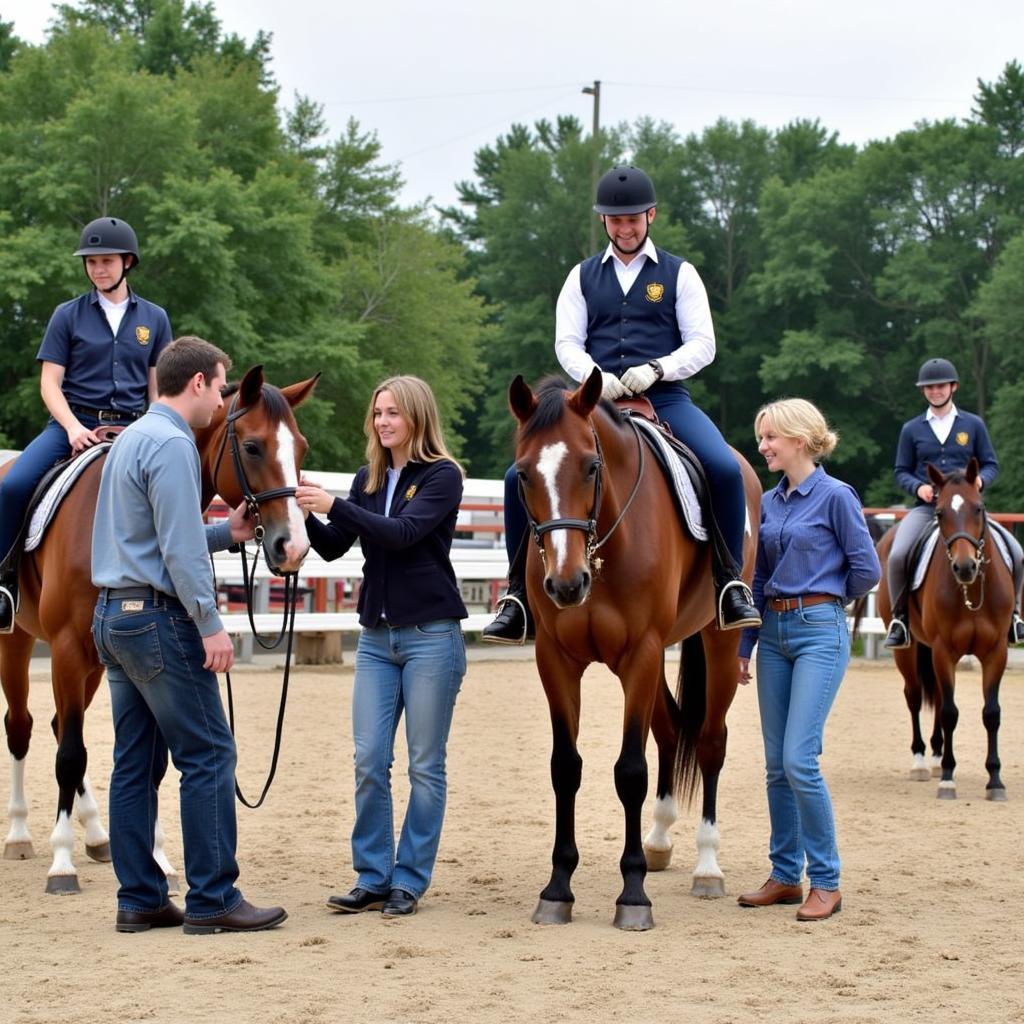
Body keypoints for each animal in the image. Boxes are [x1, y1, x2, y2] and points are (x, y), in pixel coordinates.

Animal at [0, 364, 317, 892]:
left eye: (302, 448)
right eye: (253, 447)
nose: (291, 547)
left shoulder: (131, 659)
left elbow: (152, 763)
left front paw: (157, 854)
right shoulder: (65, 650)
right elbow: (70, 754)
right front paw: (61, 861)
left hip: (93, 665)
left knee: (59, 726)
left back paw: (97, 835)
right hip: (18, 641)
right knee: (23, 727)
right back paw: (21, 834)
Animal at [509, 370, 761, 929]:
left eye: (591, 465)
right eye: (523, 475)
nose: (566, 584)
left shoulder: (641, 654)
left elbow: (629, 771)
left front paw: (633, 895)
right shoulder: (555, 660)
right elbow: (566, 767)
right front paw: (558, 889)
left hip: (719, 639)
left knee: (710, 742)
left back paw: (707, 866)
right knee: (668, 730)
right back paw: (660, 840)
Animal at [872, 460, 1015, 802]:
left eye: (979, 508)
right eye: (939, 512)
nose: (965, 567)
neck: (971, 591)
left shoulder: (996, 652)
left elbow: (991, 713)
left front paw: (995, 781)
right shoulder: (943, 649)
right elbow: (950, 711)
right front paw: (949, 780)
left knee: (936, 695)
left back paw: (937, 758)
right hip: (910, 650)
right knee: (914, 696)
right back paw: (922, 762)